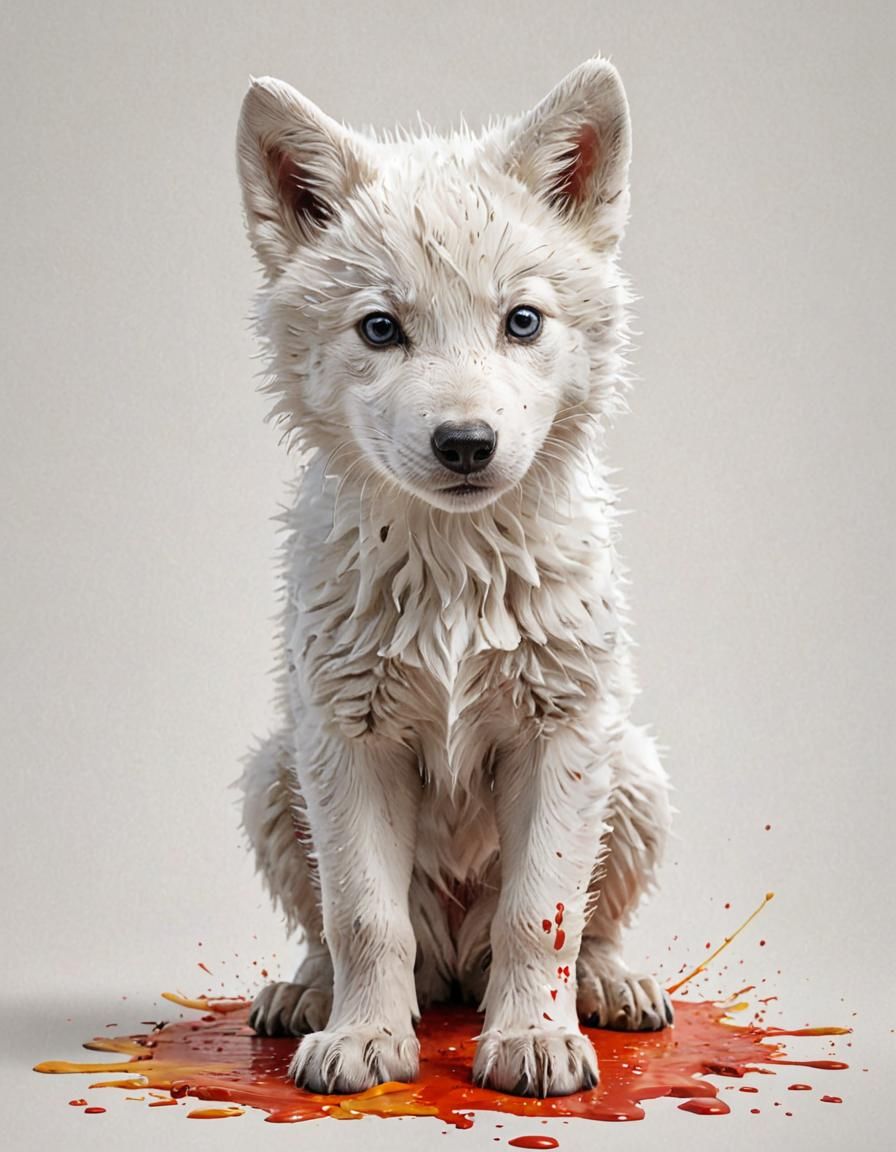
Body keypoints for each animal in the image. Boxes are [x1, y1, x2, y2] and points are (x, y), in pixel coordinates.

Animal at [236, 57, 673, 1098]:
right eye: (380, 329)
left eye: (523, 321)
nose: (466, 444)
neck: (453, 569)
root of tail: (457, 969)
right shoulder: (344, 739)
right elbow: (363, 916)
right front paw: (363, 1040)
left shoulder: (565, 733)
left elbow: (543, 912)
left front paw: (534, 1040)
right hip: (276, 772)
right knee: (340, 936)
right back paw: (309, 995)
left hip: (633, 769)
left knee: (580, 926)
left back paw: (609, 986)